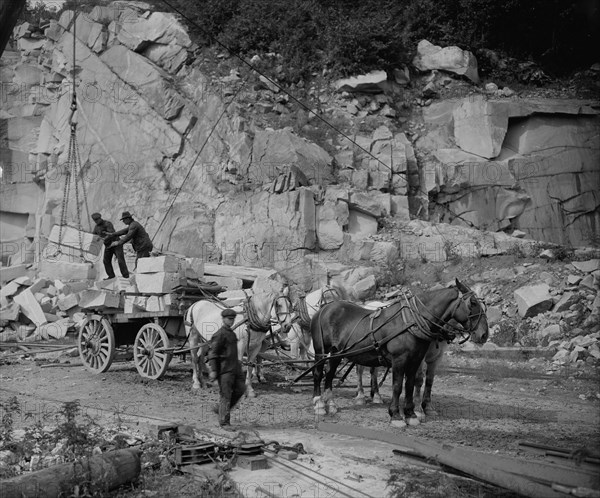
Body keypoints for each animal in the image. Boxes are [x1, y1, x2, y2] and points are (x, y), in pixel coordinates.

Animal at [310, 280, 488, 428]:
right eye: (473, 303)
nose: (484, 334)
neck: (411, 322)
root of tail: (325, 308)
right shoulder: (399, 360)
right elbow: (397, 386)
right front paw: (396, 415)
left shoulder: (416, 360)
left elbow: (410, 385)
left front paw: (410, 414)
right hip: (321, 351)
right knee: (319, 373)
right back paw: (319, 404)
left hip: (337, 353)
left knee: (330, 373)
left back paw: (331, 404)